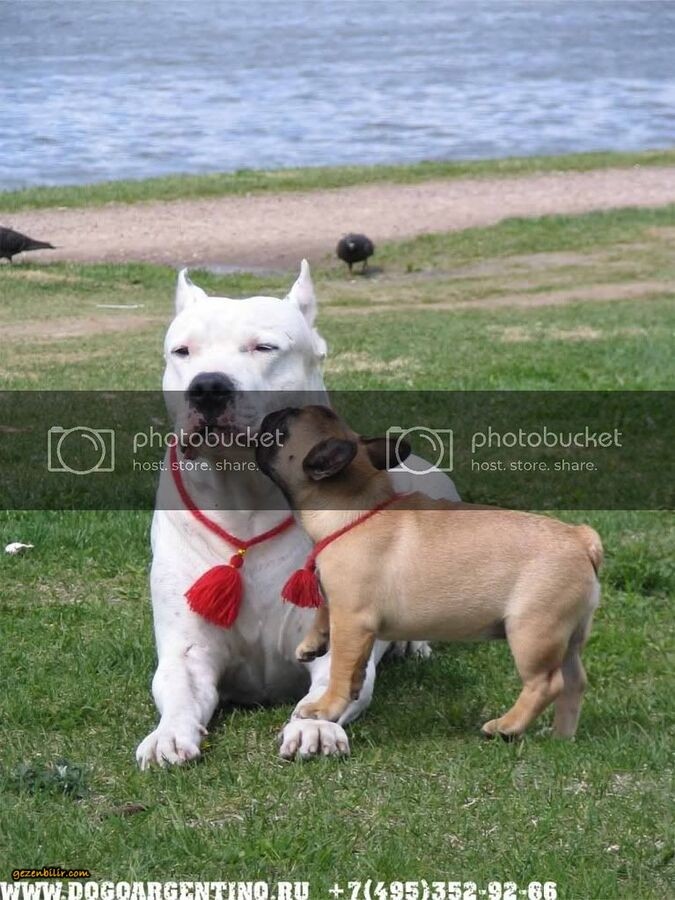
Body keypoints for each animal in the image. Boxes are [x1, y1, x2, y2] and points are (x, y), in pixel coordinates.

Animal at [136, 263, 460, 768]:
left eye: (264, 347)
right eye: (182, 351)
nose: (207, 387)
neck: (245, 497)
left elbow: (332, 684)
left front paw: (314, 726)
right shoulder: (187, 650)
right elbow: (178, 687)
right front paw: (168, 734)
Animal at [255, 405, 603, 740]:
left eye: (280, 431)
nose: (268, 415)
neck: (357, 508)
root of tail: (581, 538)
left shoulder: (352, 620)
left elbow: (340, 668)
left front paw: (325, 708)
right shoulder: (339, 604)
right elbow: (329, 623)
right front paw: (313, 644)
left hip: (532, 631)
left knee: (546, 683)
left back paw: (506, 726)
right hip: (568, 634)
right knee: (575, 681)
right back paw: (560, 737)